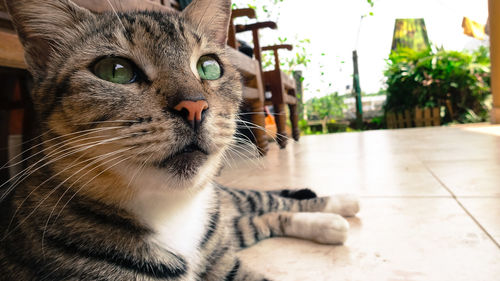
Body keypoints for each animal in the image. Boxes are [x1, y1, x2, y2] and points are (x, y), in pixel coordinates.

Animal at [0, 0, 360, 278]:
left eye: (210, 66)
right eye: (115, 70)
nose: (195, 106)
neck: (170, 210)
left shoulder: (224, 266)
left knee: (271, 203)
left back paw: (341, 205)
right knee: (261, 220)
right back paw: (332, 224)